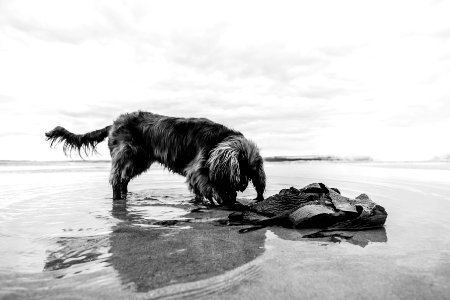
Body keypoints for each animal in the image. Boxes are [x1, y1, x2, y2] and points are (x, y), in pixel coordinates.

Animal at [44, 111, 266, 205]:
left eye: (251, 172)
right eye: (240, 169)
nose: (243, 186)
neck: (218, 140)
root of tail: (114, 123)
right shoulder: (197, 170)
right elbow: (209, 186)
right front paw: (223, 198)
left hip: (138, 161)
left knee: (123, 180)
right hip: (125, 155)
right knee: (116, 179)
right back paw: (117, 198)